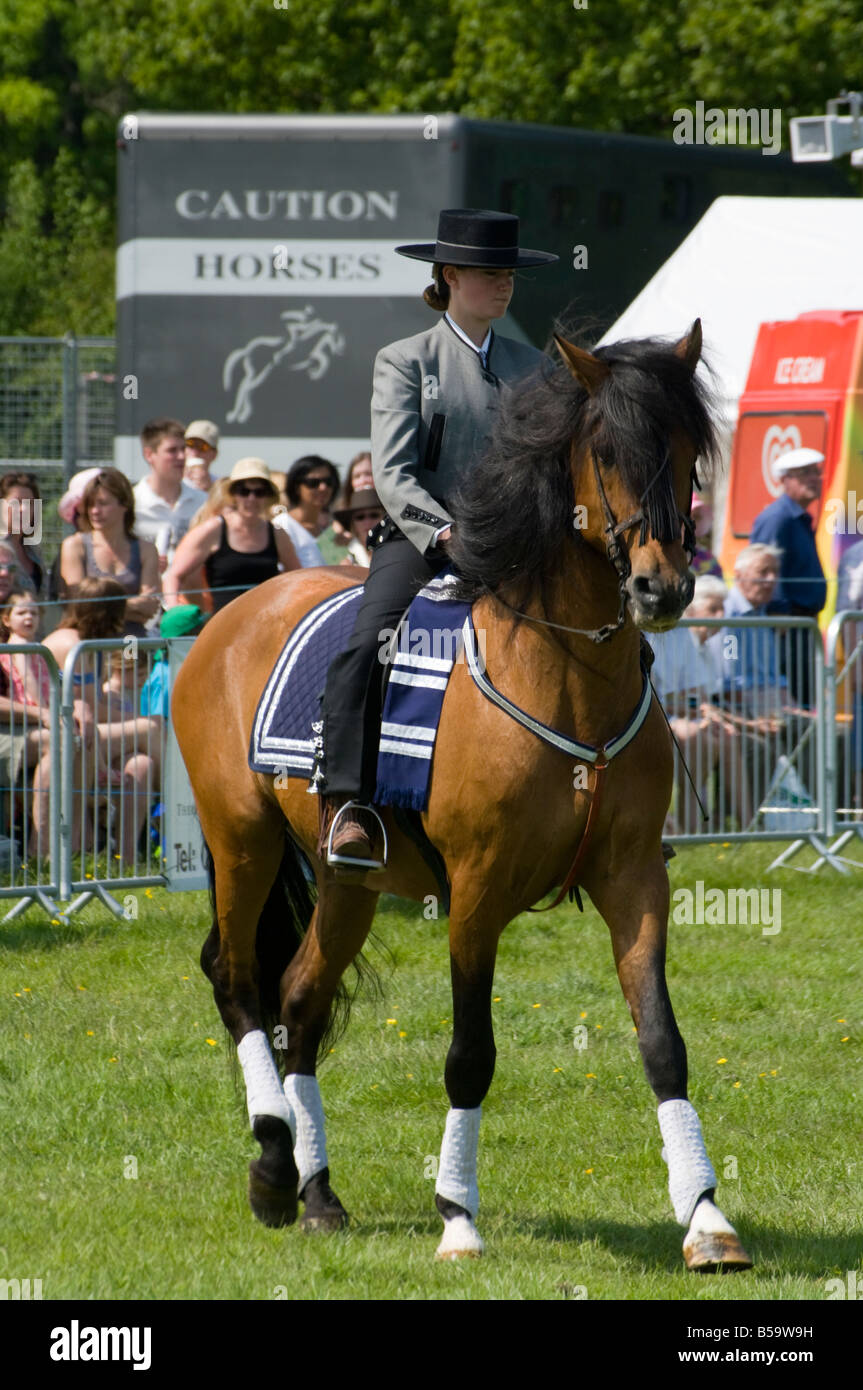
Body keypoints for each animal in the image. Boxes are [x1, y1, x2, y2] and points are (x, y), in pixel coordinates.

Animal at [172, 321, 753, 1271]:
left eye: (685, 449)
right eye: (604, 449)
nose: (660, 588)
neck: (565, 674)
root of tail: (239, 607)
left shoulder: (635, 879)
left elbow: (663, 1045)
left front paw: (706, 1219)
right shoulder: (475, 893)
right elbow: (469, 1055)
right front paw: (457, 1219)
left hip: (348, 878)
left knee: (299, 997)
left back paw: (317, 1192)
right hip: (241, 839)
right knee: (238, 979)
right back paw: (271, 1165)